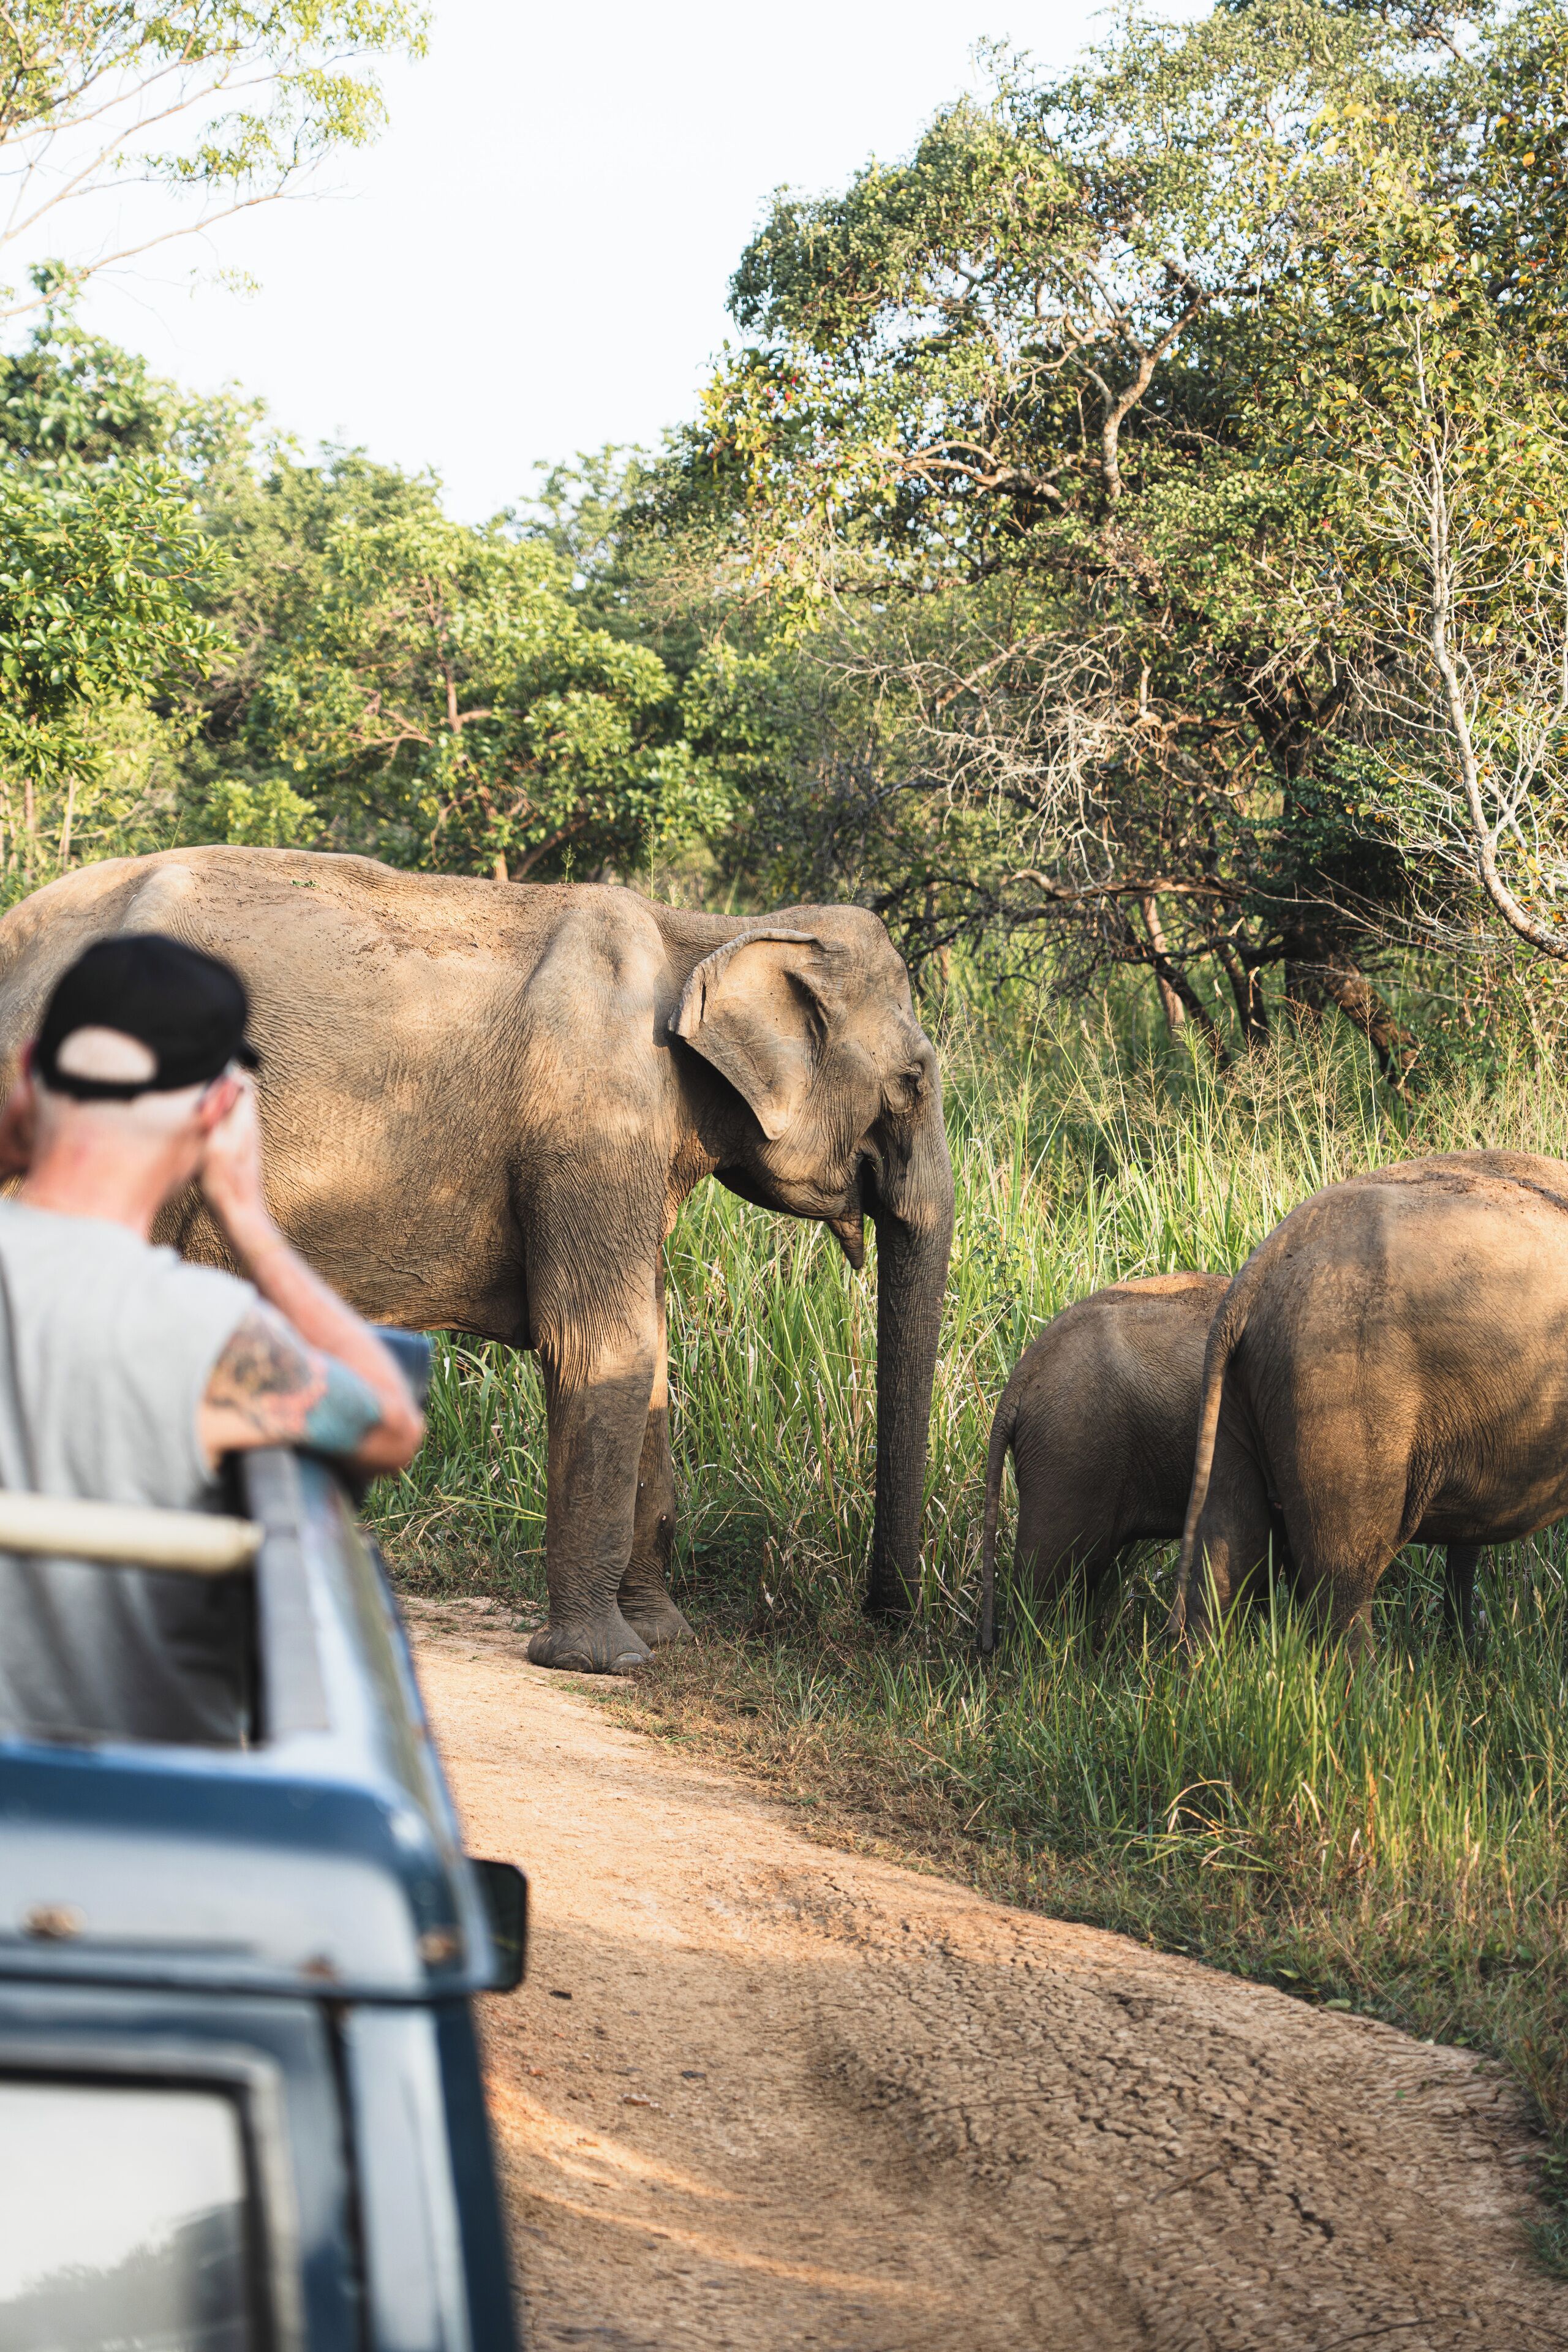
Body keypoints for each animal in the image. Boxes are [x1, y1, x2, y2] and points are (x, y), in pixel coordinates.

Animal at [0, 847, 955, 1673]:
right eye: (913, 1079)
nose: (885, 1625)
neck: (709, 930)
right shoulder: (592, 1121)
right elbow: (599, 1343)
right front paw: (600, 1661)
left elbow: (648, 1356)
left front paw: (662, 1638)